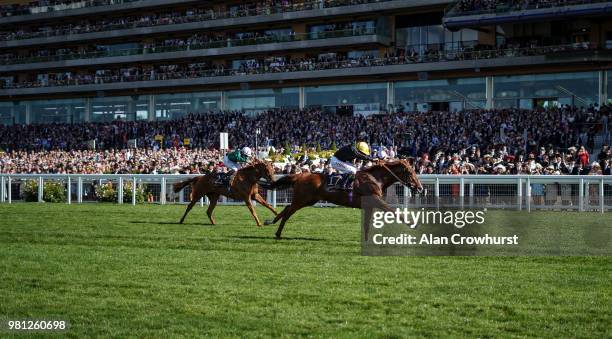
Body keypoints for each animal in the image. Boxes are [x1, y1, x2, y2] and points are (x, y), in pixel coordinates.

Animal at [266, 161, 424, 240]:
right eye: (411, 173)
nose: (420, 188)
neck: (375, 178)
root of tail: (300, 175)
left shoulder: (369, 205)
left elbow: (367, 224)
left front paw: (366, 240)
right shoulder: (375, 199)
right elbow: (392, 211)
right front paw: (413, 223)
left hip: (308, 200)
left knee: (287, 209)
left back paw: (271, 222)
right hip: (302, 199)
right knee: (288, 212)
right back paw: (277, 232)